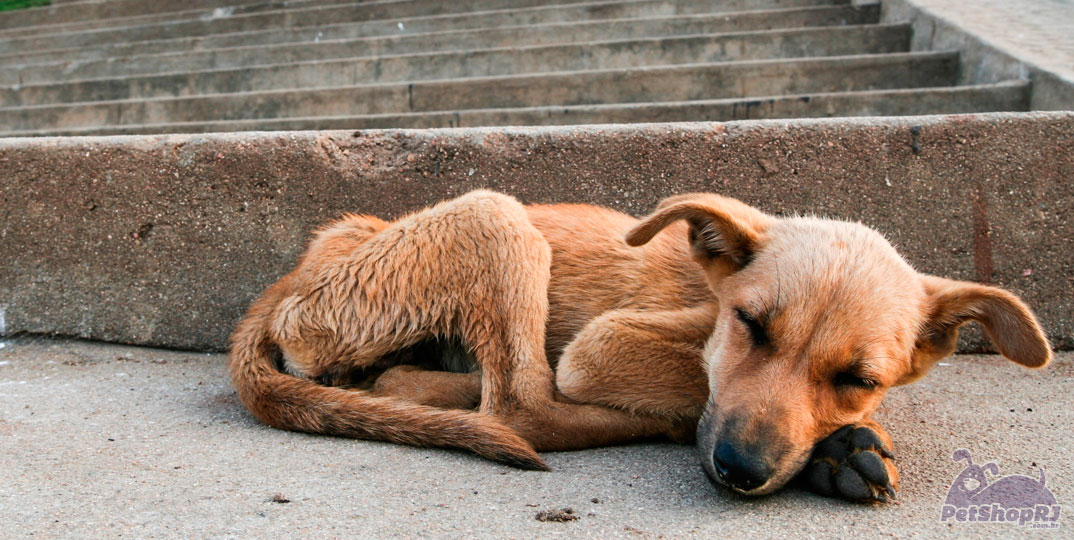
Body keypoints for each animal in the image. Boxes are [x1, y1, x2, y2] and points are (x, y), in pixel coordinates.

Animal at [228, 188, 1048, 502]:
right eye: (751, 325)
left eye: (859, 377)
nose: (741, 470)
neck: (708, 294)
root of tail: (298, 272)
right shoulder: (601, 344)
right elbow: (692, 385)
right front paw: (832, 449)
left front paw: (841, 442)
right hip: (494, 215)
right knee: (522, 406)